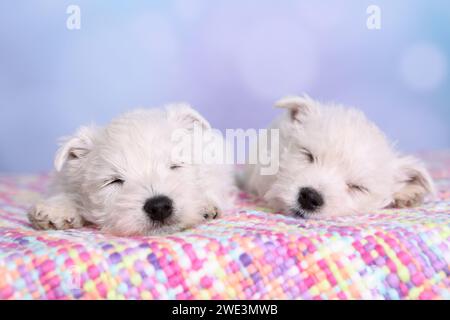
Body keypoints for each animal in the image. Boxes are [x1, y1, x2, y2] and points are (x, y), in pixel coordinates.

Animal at [27, 104, 234, 236]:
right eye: (114, 181)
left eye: (175, 166)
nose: (159, 207)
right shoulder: (63, 178)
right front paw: (57, 210)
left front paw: (206, 204)